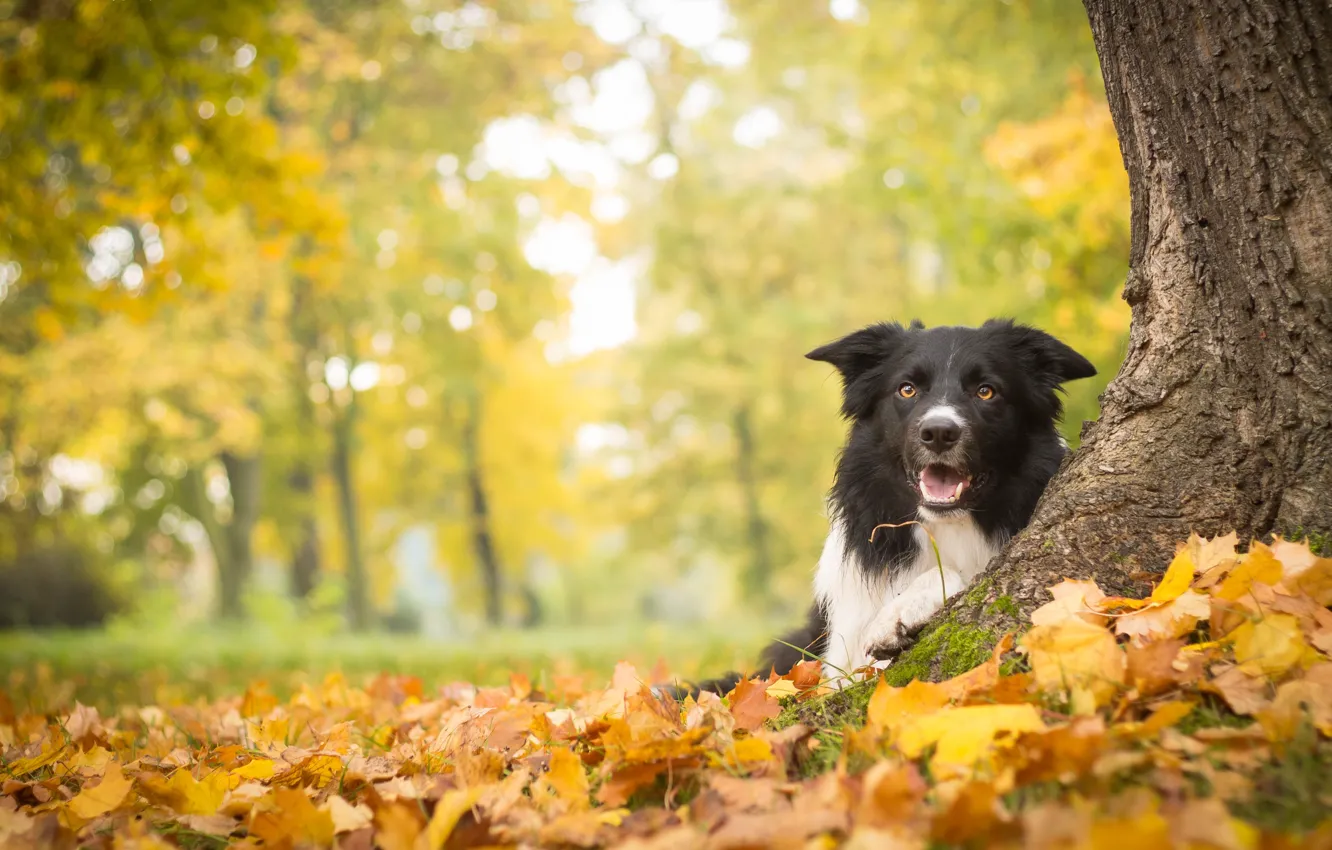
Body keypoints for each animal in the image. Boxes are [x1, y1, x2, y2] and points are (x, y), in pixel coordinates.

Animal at [671, 319, 1097, 698]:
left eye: (986, 391)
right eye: (907, 390)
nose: (938, 432)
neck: (947, 527)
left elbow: (966, 572)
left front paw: (900, 613)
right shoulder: (839, 661)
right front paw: (897, 614)